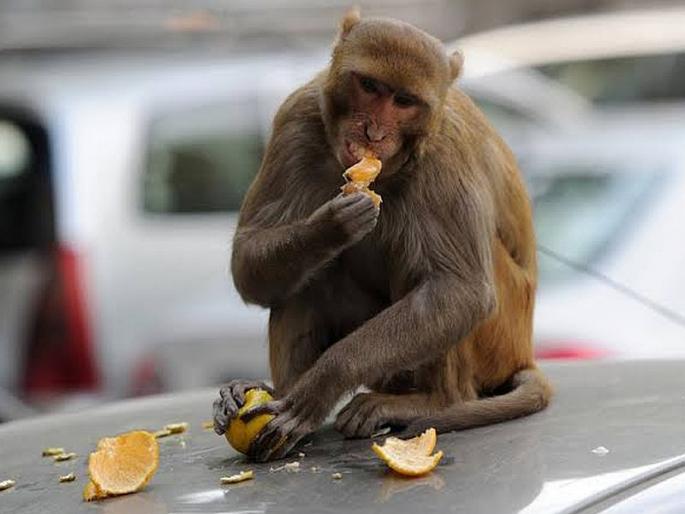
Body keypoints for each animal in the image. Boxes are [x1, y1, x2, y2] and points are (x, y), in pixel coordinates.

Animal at [213, 9, 552, 462]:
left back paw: (433, 400)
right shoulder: (296, 119)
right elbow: (248, 261)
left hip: (498, 341)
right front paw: (328, 227)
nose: (373, 132)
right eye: (370, 86)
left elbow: (460, 290)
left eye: (404, 101)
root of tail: (524, 353)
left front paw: (321, 386)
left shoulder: (444, 153)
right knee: (308, 280)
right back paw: (280, 395)